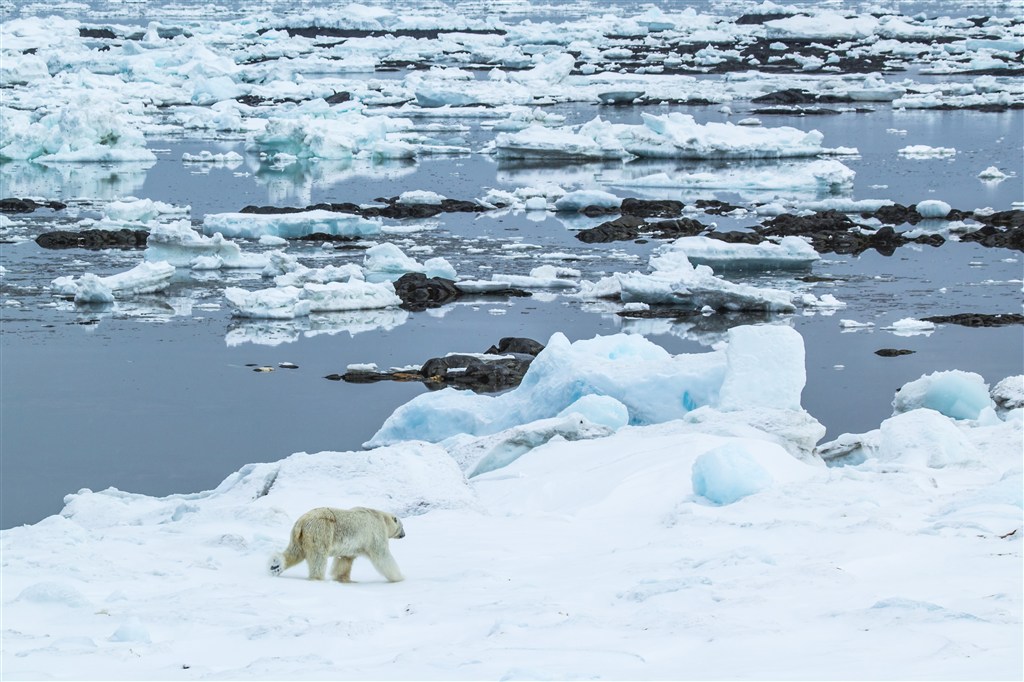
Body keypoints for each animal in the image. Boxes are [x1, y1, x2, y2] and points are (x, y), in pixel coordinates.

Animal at [270, 503, 405, 577]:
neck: (380, 516)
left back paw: (275, 566)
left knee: (294, 552)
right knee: (318, 558)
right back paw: (317, 577)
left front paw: (342, 578)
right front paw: (399, 577)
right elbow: (382, 556)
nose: (404, 535)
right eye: (402, 526)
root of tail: (301, 522)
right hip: (320, 531)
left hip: (298, 537)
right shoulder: (375, 532)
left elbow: (344, 560)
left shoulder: (351, 547)